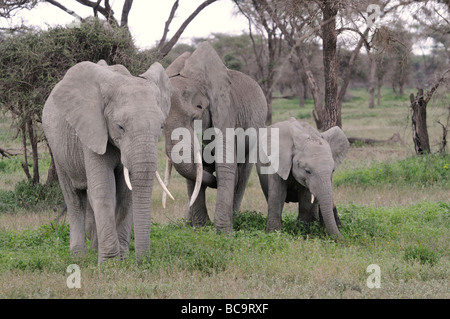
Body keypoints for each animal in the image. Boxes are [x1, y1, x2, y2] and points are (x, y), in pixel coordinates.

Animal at [42, 60, 173, 264]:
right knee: (74, 199)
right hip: (57, 147)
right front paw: (110, 264)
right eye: (120, 127)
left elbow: (126, 196)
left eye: (161, 126)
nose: (143, 262)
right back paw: (79, 257)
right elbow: (104, 191)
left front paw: (123, 260)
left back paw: (95, 250)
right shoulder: (93, 130)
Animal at [162, 41, 268, 234]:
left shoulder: (227, 111)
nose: (215, 183)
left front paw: (224, 233)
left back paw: (236, 216)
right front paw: (201, 228)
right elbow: (194, 171)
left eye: (198, 110)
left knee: (243, 172)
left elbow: (225, 163)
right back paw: (188, 223)